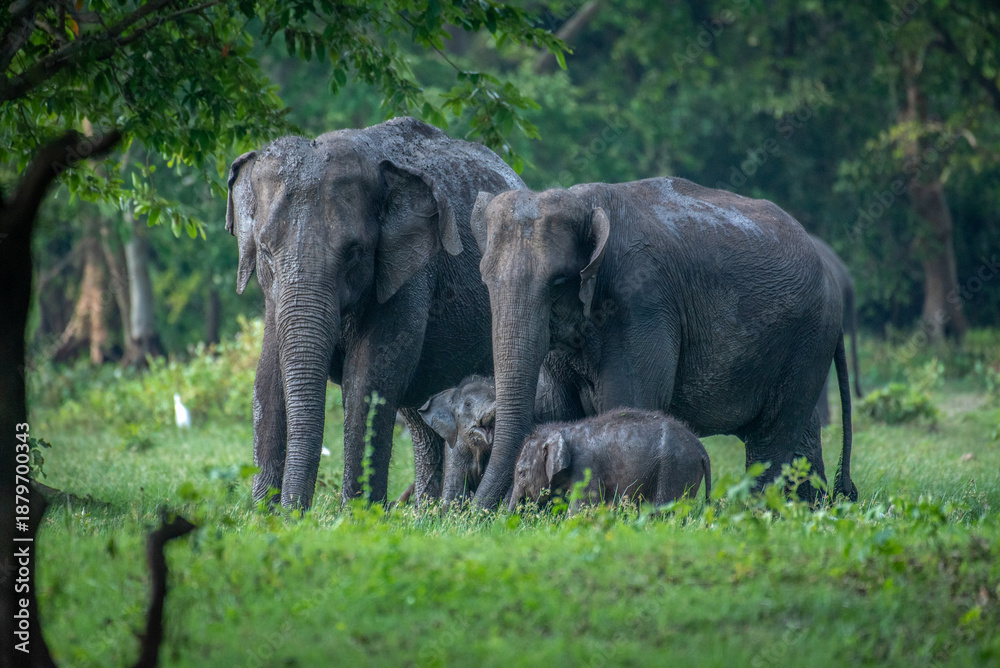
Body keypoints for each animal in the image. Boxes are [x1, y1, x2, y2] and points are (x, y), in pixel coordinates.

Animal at [226, 117, 527, 509]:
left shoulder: (409, 273)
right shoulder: (274, 298)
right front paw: (262, 513)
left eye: (354, 252)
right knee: (421, 421)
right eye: (264, 250)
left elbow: (368, 376)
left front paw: (356, 514)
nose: (296, 511)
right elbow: (267, 377)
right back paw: (427, 513)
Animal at [508, 408, 711, 512]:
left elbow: (583, 507)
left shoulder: (585, 468)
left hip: (675, 468)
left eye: (521, 473)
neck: (564, 429)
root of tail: (700, 447)